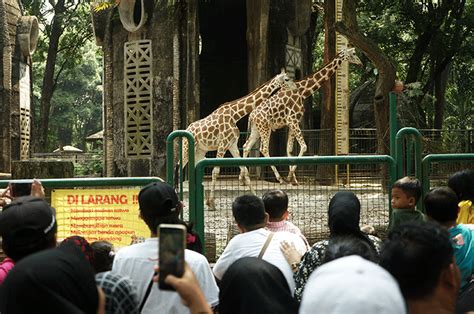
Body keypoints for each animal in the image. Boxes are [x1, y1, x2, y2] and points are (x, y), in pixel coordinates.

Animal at [181, 70, 296, 209]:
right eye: (287, 79)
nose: (295, 87)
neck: (235, 115)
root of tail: (187, 129)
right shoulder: (223, 144)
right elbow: (215, 171)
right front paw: (212, 203)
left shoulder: (232, 145)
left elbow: (245, 170)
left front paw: (257, 198)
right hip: (187, 148)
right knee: (179, 165)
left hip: (200, 151)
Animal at [241, 47, 362, 185]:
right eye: (353, 53)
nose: (360, 63)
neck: (303, 91)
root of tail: (251, 115)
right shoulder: (293, 120)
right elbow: (304, 146)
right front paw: (289, 177)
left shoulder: (291, 122)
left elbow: (289, 150)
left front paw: (294, 179)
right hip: (265, 128)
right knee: (264, 148)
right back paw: (279, 179)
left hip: (256, 129)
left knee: (246, 146)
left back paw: (243, 178)